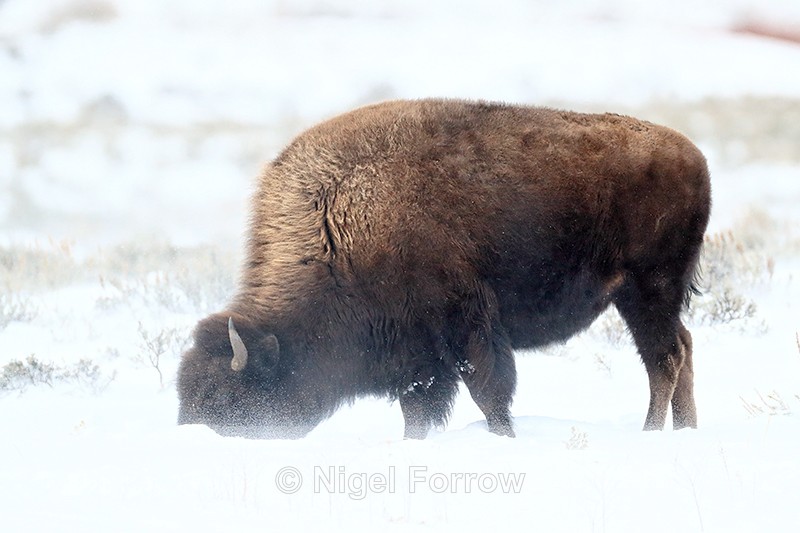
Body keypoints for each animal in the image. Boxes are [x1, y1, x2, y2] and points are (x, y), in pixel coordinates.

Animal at [177, 99, 711, 439]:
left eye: (227, 399)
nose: (191, 436)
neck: (340, 227)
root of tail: (692, 154)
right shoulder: (419, 358)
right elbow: (419, 411)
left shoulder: (466, 329)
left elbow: (489, 392)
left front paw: (503, 439)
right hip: (643, 298)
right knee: (682, 348)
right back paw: (685, 431)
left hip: (647, 291)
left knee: (664, 358)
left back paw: (651, 434)